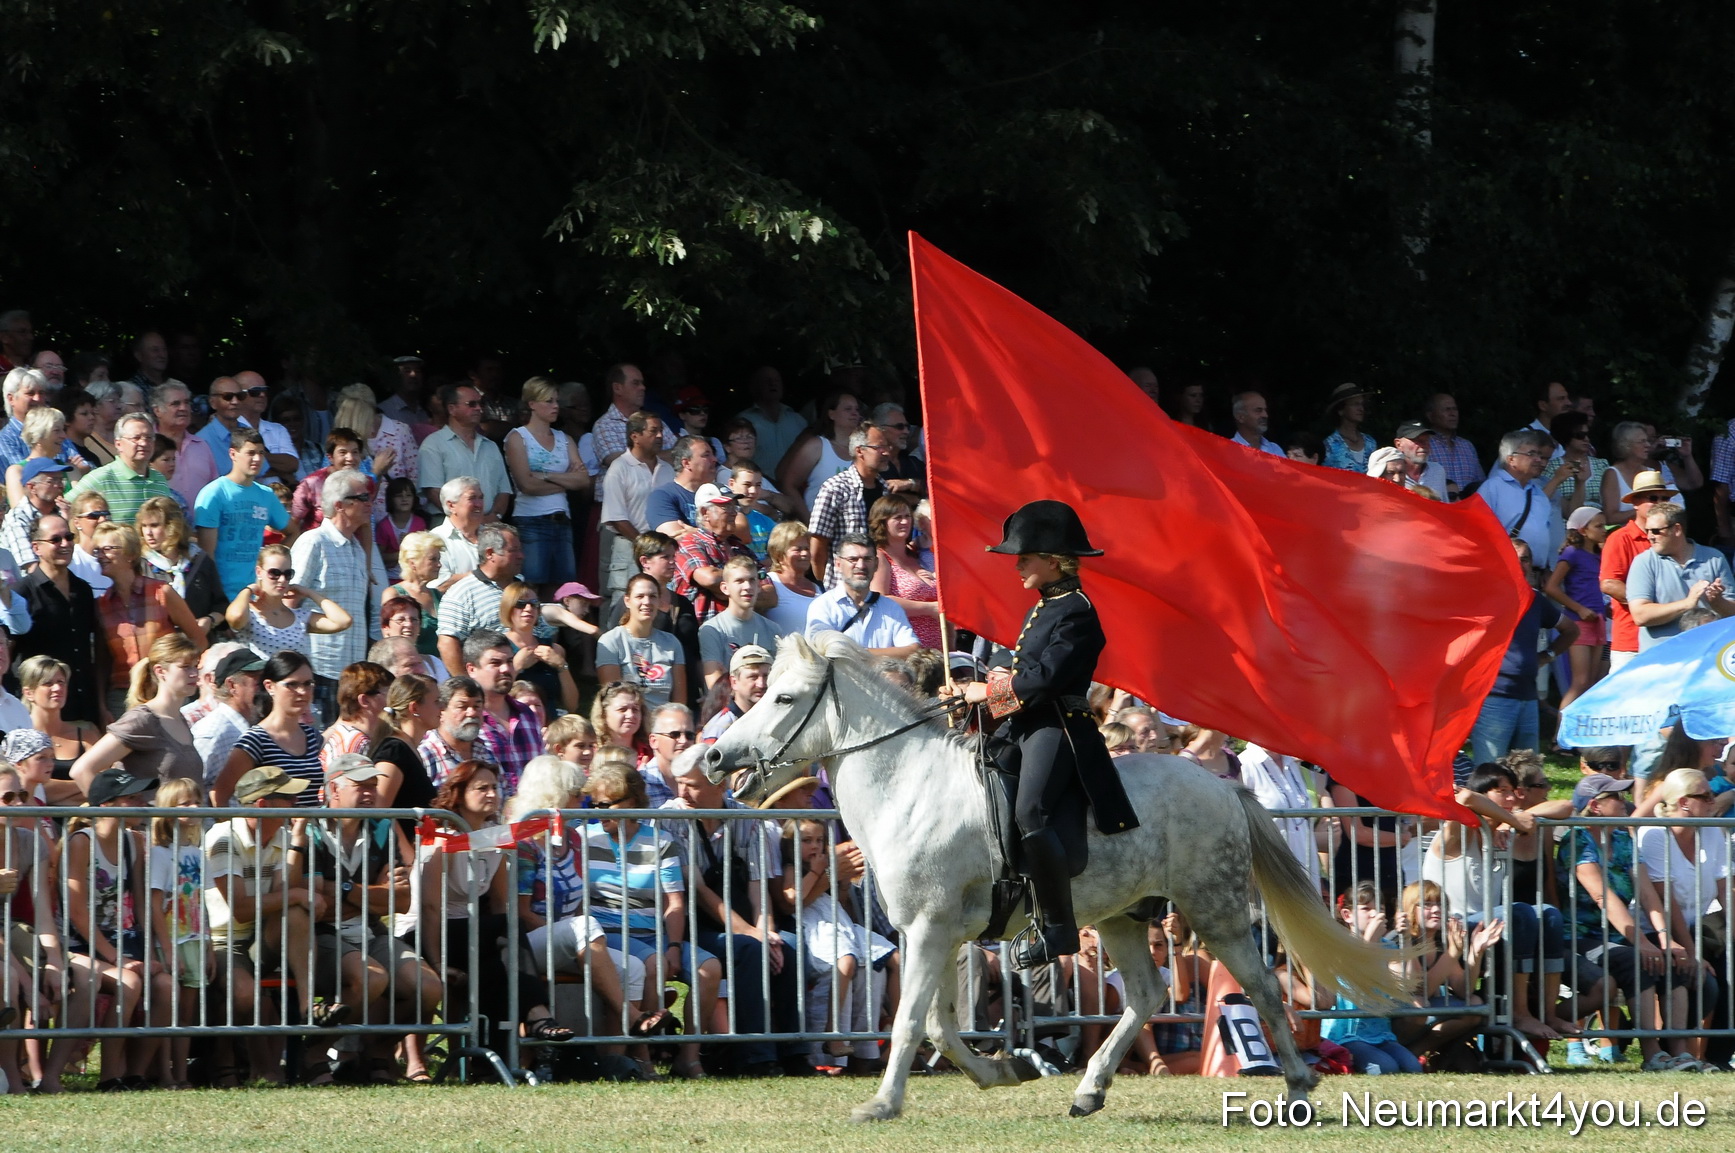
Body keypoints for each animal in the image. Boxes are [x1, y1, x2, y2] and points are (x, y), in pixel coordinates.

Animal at [700, 632, 1414, 1122]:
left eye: (785, 697)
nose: (713, 758)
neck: (909, 785)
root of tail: (1221, 786)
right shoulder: (936, 935)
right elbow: (938, 1023)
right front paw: (1005, 1069)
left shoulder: (931, 931)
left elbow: (909, 1022)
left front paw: (882, 1104)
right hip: (1123, 918)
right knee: (1148, 995)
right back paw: (1090, 1089)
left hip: (1214, 910)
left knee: (1261, 988)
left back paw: (1297, 1086)